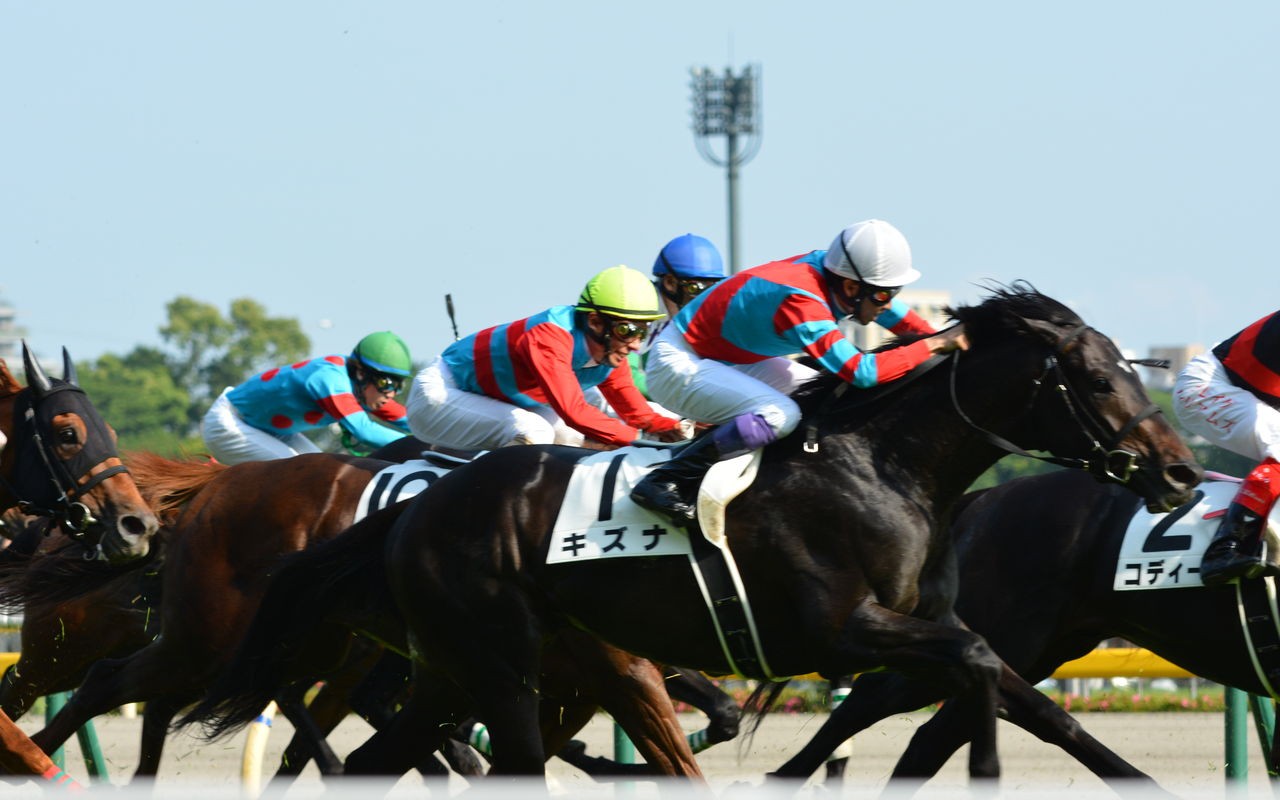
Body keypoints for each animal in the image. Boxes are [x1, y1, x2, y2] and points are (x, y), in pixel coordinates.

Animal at [181, 284, 1202, 784]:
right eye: (1098, 379)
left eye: (1130, 368)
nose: (1181, 474)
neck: (884, 468)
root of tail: (414, 507)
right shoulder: (839, 631)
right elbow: (975, 674)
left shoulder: (928, 631)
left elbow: (1027, 696)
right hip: (498, 663)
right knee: (501, 760)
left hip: (454, 666)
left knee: (375, 759)